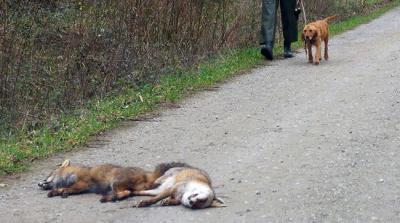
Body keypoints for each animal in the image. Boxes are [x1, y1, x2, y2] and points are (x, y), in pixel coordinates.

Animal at [37, 159, 181, 202]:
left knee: (126, 193)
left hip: (115, 182)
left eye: (50, 174)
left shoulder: (83, 183)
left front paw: (62, 191)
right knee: (128, 192)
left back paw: (110, 198)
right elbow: (62, 189)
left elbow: (67, 188)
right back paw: (110, 197)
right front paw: (56, 192)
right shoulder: (81, 186)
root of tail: (147, 175)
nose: (39, 183)